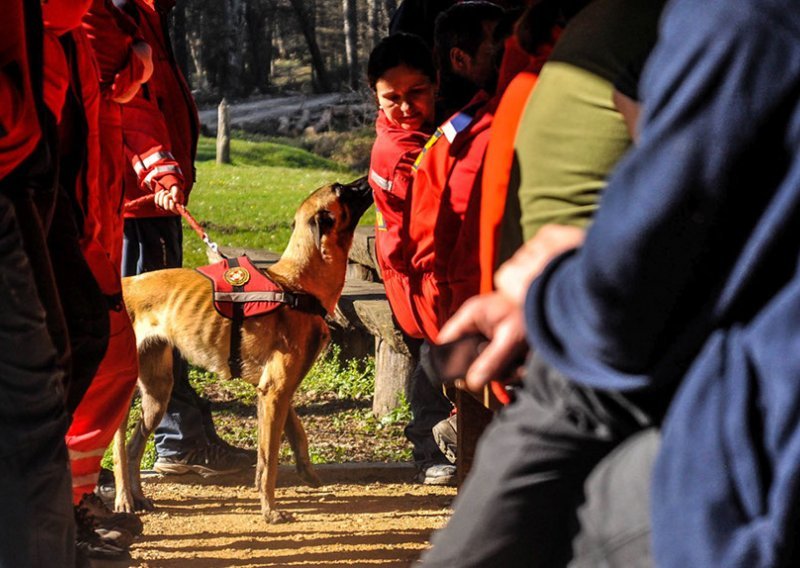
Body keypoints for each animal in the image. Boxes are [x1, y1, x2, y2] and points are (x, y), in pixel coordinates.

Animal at [114, 178, 374, 524]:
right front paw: (269, 509)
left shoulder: (277, 390)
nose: (367, 179)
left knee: (134, 446)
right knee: (117, 448)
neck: (295, 285)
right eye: (340, 189)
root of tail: (125, 285)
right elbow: (269, 461)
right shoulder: (274, 392)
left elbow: (298, 432)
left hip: (158, 393)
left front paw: (306, 471)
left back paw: (139, 497)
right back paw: (123, 500)